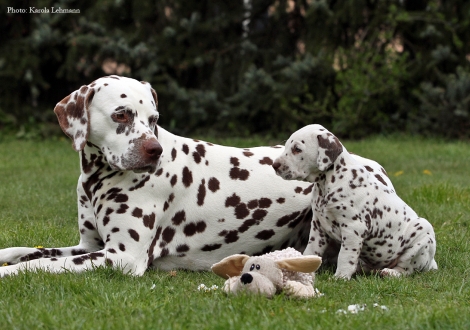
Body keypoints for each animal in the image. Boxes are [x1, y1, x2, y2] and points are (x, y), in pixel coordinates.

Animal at [0, 76, 318, 278]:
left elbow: (41, 264)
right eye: (121, 115)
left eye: (153, 119)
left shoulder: (120, 256)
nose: (154, 150)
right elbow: (30, 251)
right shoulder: (89, 247)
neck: (96, 180)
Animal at [272, 124, 436, 278]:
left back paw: (391, 272)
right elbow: (311, 251)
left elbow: (345, 256)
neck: (328, 183)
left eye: (297, 149)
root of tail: (431, 263)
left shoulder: (353, 228)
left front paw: (341, 276)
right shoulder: (318, 227)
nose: (275, 165)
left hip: (422, 233)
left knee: (407, 269)